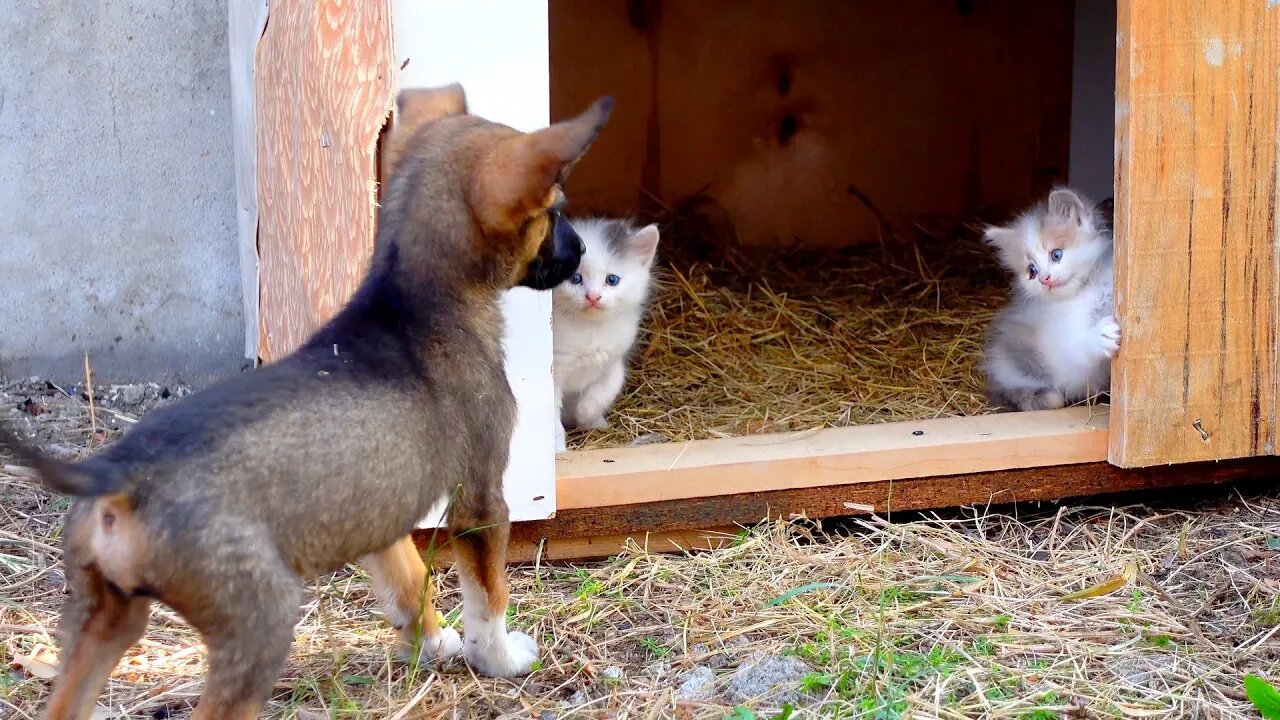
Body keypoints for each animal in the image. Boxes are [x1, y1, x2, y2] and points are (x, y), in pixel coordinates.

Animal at [3, 85, 614, 717]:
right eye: (554, 211)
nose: (581, 248)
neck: (414, 299)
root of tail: (120, 474)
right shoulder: (480, 499)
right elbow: (487, 596)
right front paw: (499, 657)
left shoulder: (377, 512)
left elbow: (408, 581)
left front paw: (431, 640)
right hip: (258, 626)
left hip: (104, 618)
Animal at [550, 215, 660, 430]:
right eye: (575, 278)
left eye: (612, 280)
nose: (593, 297)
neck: (591, 329)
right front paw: (559, 438)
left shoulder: (613, 360)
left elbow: (609, 386)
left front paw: (587, 416)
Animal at [983, 184, 1116, 409]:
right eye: (1032, 271)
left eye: (1056, 254)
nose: (1044, 279)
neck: (1087, 288)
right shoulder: (1063, 354)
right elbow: (1077, 348)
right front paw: (1100, 337)